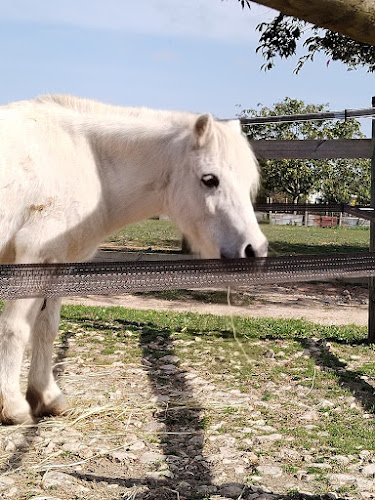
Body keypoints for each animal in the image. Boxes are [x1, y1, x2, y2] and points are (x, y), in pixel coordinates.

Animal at [0, 94, 268, 422]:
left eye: (248, 183)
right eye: (210, 179)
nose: (254, 250)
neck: (82, 156)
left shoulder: (58, 264)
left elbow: (46, 327)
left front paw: (47, 397)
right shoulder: (34, 256)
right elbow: (15, 328)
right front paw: (13, 406)